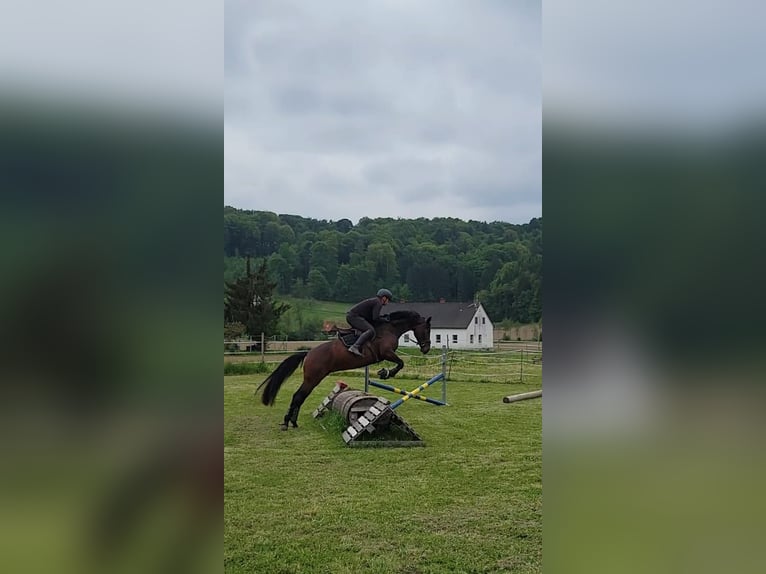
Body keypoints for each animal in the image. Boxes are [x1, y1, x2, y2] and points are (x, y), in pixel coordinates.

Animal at [260, 310, 432, 432]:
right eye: (427, 330)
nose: (426, 349)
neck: (390, 328)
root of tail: (308, 353)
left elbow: (400, 363)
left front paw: (385, 372)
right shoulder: (386, 353)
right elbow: (400, 363)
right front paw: (386, 373)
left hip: (313, 379)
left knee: (300, 397)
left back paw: (293, 422)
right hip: (313, 378)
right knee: (298, 396)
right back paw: (287, 422)